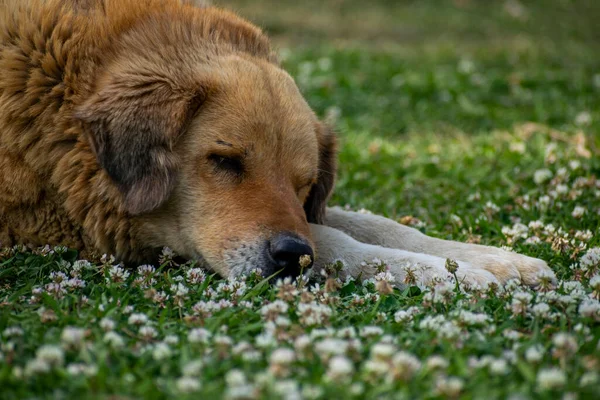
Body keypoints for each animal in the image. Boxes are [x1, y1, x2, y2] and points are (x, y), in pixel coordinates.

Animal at [0, 0, 556, 288]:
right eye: (224, 161)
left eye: (304, 183)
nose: (292, 257)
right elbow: (332, 239)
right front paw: (456, 274)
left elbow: (370, 223)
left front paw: (491, 258)